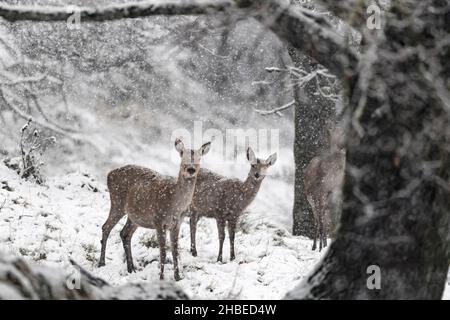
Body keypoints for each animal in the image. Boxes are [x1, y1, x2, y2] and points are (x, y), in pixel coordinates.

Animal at [97, 138, 210, 280]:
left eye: (199, 157)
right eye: (182, 154)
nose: (191, 169)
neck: (175, 204)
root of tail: (109, 174)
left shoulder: (177, 223)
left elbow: (175, 251)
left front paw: (177, 277)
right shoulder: (158, 220)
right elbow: (163, 252)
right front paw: (161, 277)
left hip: (134, 216)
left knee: (125, 233)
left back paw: (131, 268)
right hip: (117, 203)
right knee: (106, 227)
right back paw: (102, 263)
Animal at [304, 121, 346, 251]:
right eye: (337, 132)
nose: (342, 146)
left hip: (317, 200)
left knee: (321, 220)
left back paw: (319, 245)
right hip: (317, 199)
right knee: (320, 221)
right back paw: (319, 246)